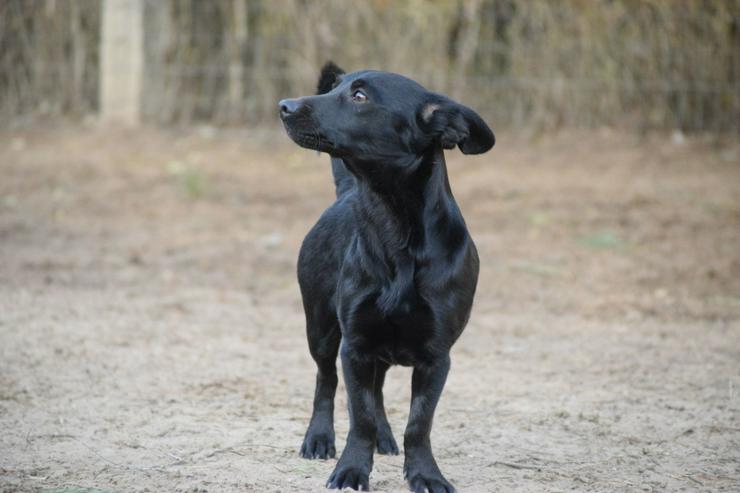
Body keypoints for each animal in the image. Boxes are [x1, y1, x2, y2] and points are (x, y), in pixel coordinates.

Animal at [280, 63, 494, 490]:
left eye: (360, 96)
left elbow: (418, 423)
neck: (395, 227)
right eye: (338, 89)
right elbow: (358, 415)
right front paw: (350, 469)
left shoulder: (436, 357)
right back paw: (319, 437)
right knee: (326, 382)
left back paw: (384, 436)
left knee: (375, 392)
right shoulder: (355, 345)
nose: (284, 106)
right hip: (321, 328)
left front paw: (425, 474)